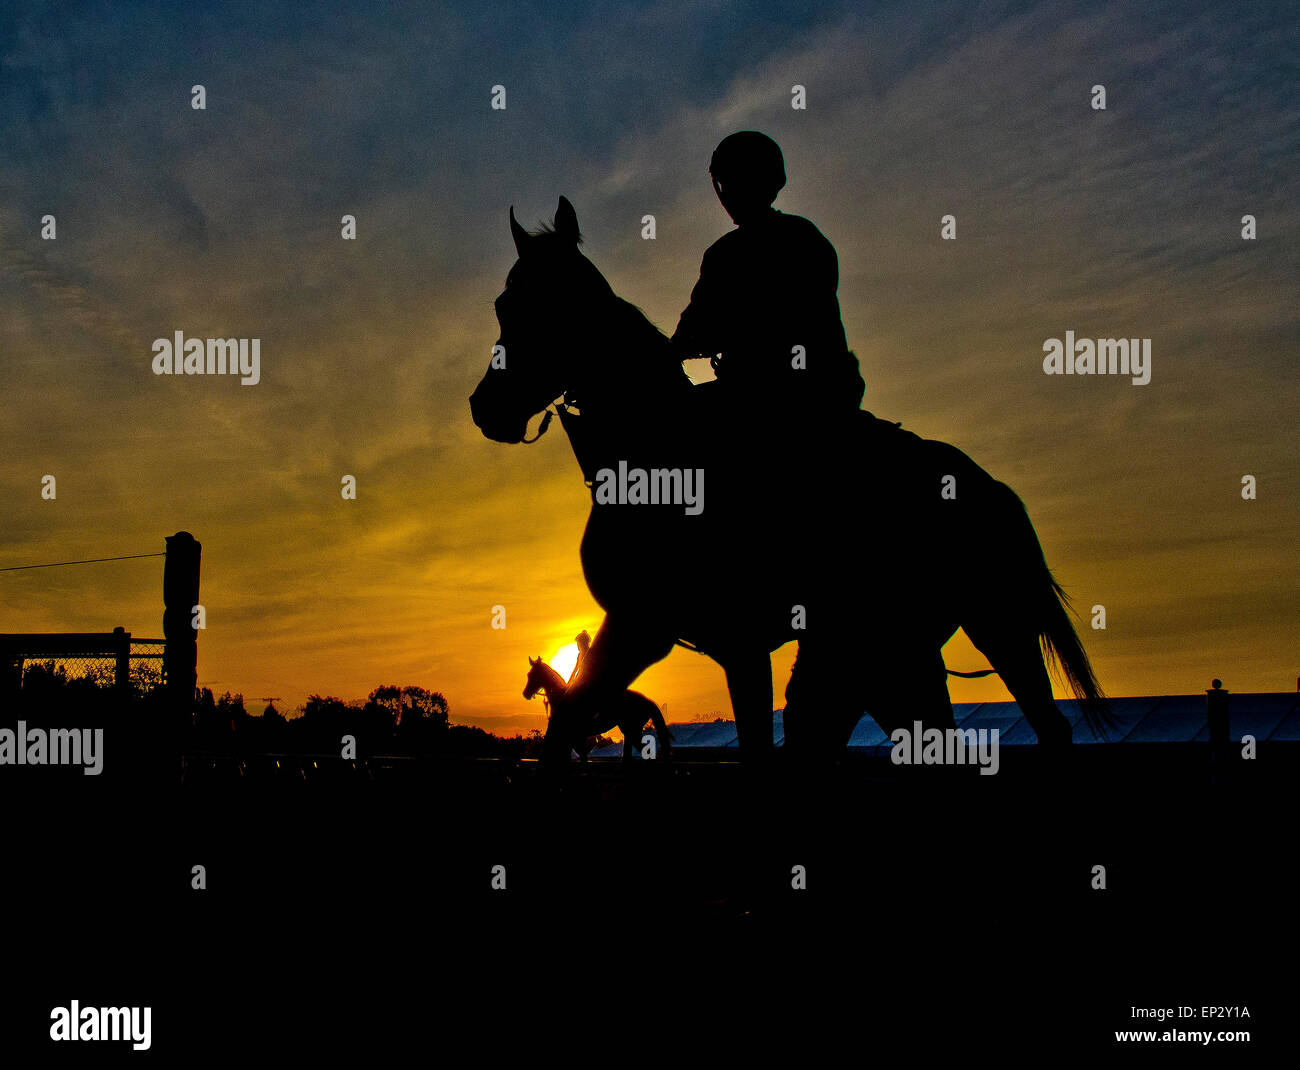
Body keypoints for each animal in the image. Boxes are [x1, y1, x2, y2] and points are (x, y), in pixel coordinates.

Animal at [522, 652, 676, 759]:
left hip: (632, 730)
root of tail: (646, 700)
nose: (525, 694)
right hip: (629, 732)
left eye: (531, 675)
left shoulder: (573, 738)